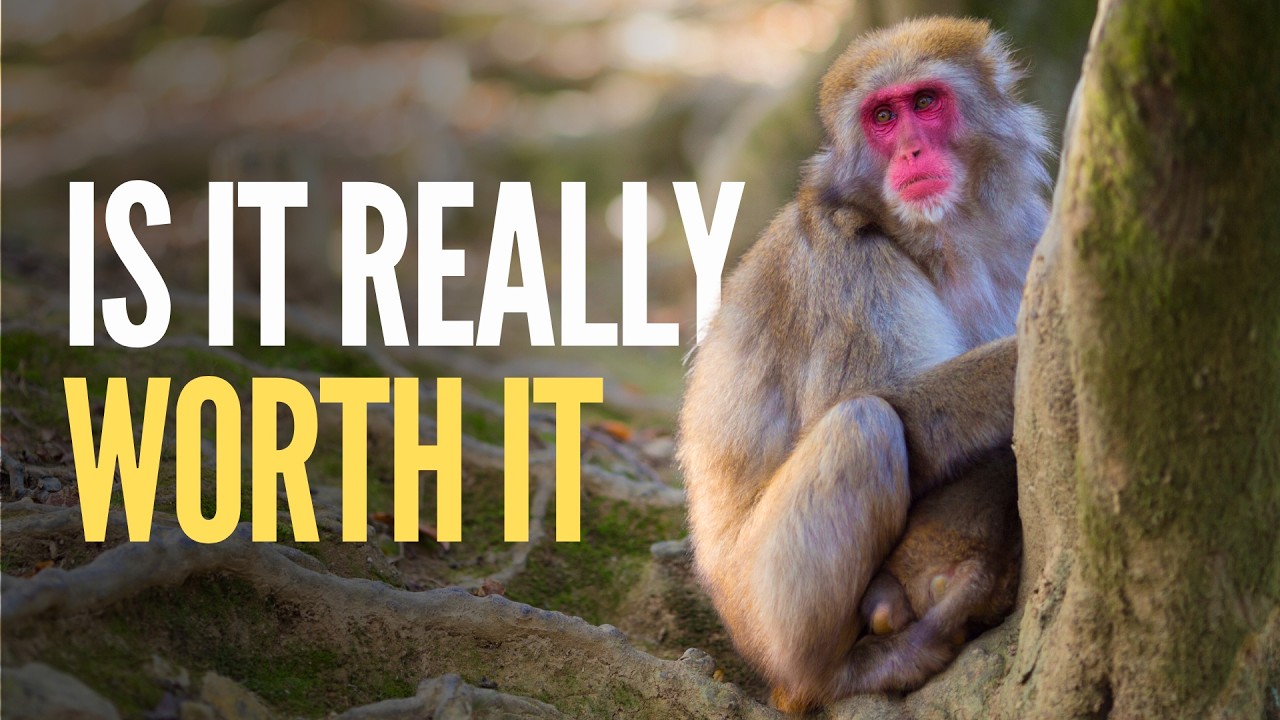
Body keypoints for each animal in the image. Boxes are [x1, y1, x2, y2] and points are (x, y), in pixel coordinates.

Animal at [677, 17, 1050, 712]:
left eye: (925, 102)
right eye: (882, 117)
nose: (909, 153)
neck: (943, 237)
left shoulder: (1026, 232)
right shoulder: (843, 264)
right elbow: (882, 402)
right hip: (761, 611)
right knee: (863, 425)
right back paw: (837, 673)